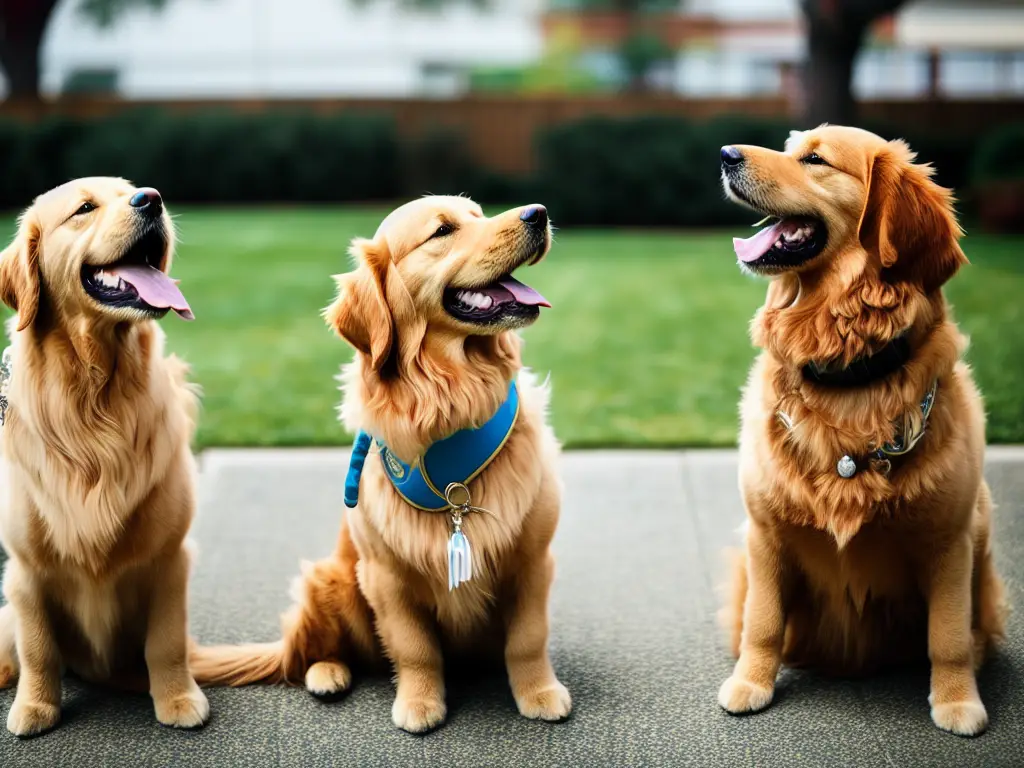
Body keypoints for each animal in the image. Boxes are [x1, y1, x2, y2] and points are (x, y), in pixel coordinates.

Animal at [0, 177, 207, 737]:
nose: (152, 199)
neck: (95, 395)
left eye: (132, 191)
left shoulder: (169, 558)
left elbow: (166, 642)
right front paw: (35, 708)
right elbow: (37, 646)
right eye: (84, 208)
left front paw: (178, 699)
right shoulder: (24, 569)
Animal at [193, 195, 569, 737]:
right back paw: (327, 673)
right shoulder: (385, 576)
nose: (538, 213)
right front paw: (420, 702)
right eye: (442, 231)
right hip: (328, 579)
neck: (449, 408)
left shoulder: (533, 560)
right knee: (314, 653)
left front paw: (539, 693)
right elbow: (414, 648)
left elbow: (527, 638)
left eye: (478, 214)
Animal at [720, 128, 1007, 741]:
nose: (726, 155)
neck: (848, 368)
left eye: (815, 159)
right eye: (791, 147)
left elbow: (948, 635)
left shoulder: (950, 541)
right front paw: (750, 684)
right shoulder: (765, 535)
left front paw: (957, 701)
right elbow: (763, 621)